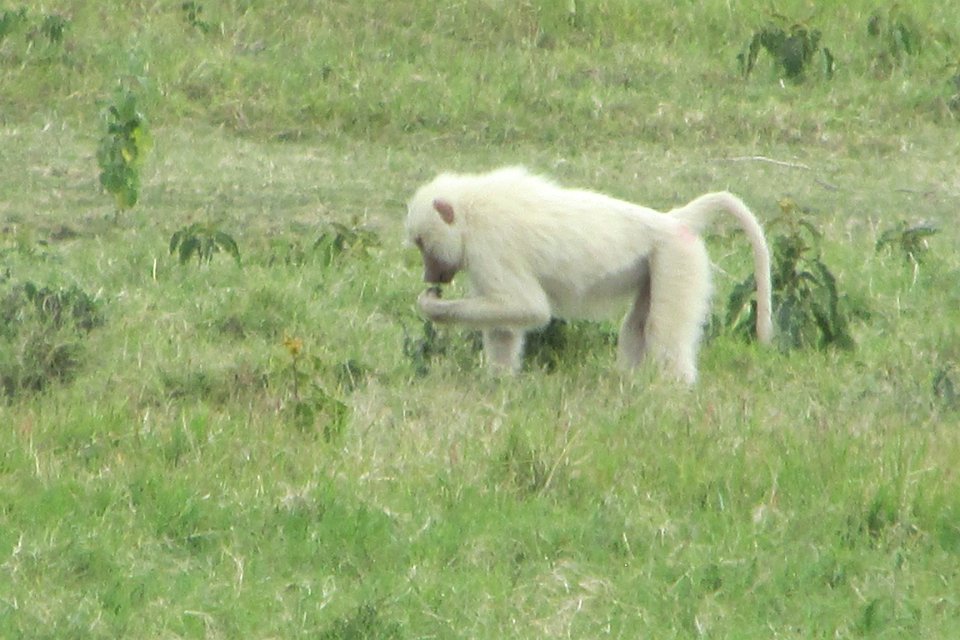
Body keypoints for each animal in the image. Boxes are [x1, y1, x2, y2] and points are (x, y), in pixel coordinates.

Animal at [404, 166, 772, 384]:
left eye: (423, 244)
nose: (429, 276)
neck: (470, 212)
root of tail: (674, 220)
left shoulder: (489, 246)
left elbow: (528, 307)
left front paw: (433, 307)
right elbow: (505, 325)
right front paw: (499, 385)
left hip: (677, 258)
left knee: (663, 333)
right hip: (660, 262)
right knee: (637, 326)